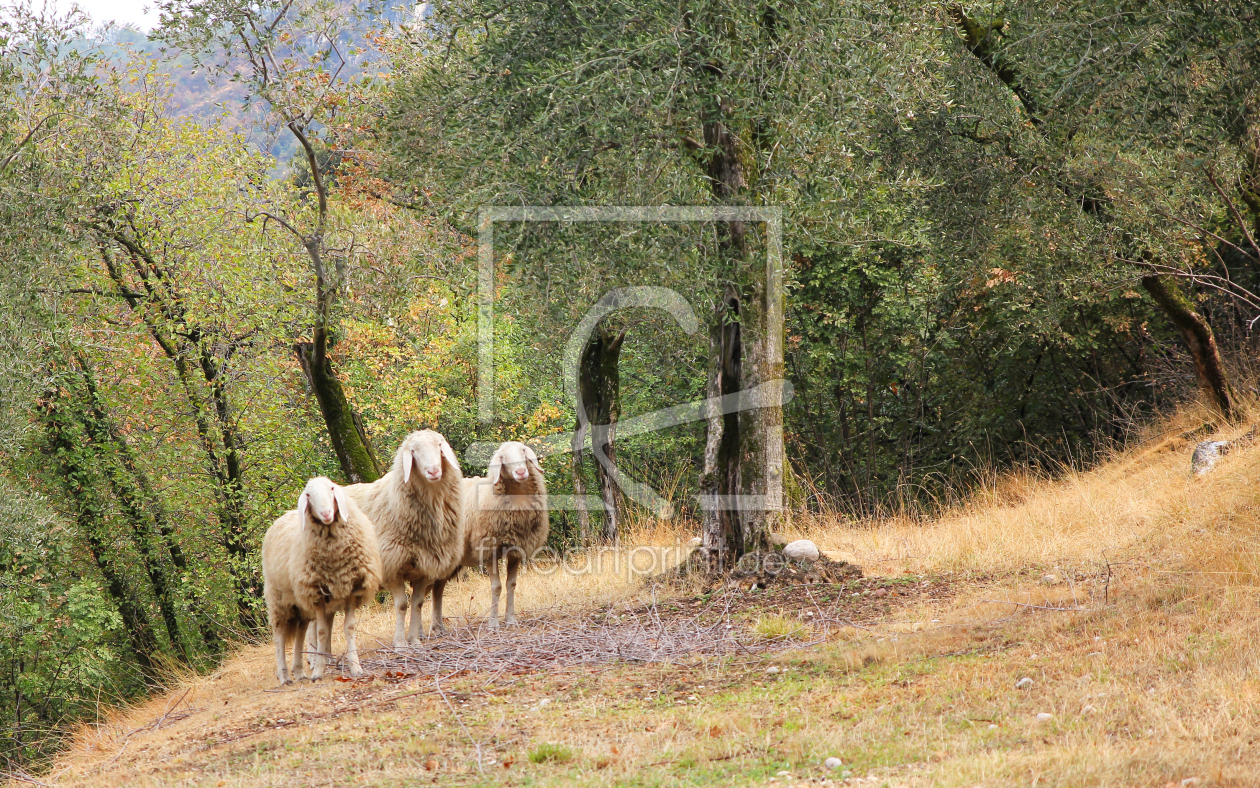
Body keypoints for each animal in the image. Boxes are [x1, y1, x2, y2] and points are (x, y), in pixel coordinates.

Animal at [260, 474, 378, 680]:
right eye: (308, 495)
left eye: (331, 488)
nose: (326, 513)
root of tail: (281, 517)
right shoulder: (318, 596)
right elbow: (322, 632)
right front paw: (319, 670)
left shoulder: (348, 590)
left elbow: (349, 628)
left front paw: (355, 667)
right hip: (278, 599)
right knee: (279, 635)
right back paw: (284, 676)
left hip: (299, 604)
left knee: (300, 633)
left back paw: (299, 672)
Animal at [342, 431, 466, 645]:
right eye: (413, 452)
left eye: (439, 446)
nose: (433, 471)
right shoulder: (391, 566)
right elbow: (401, 605)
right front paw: (400, 643)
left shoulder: (425, 567)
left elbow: (418, 603)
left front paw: (415, 640)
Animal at [430, 438, 549, 630]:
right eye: (503, 458)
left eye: (523, 451)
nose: (521, 471)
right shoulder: (488, 549)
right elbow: (496, 587)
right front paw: (493, 623)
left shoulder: (515, 549)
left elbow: (511, 584)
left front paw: (511, 619)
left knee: (437, 590)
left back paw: (439, 626)